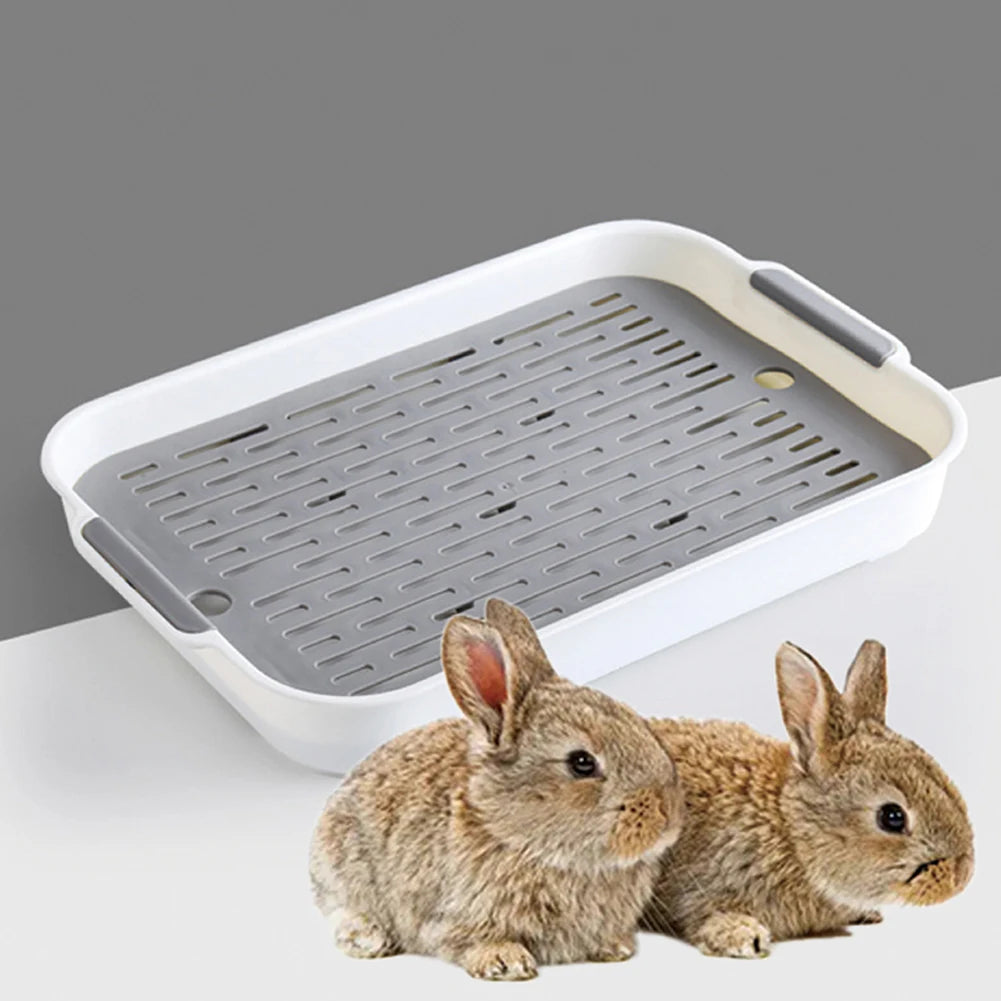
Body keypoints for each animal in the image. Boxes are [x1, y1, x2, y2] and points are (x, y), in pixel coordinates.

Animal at [309, 597, 685, 981]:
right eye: (581, 762)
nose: (669, 817)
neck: (517, 838)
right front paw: (505, 962)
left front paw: (614, 947)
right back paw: (368, 940)